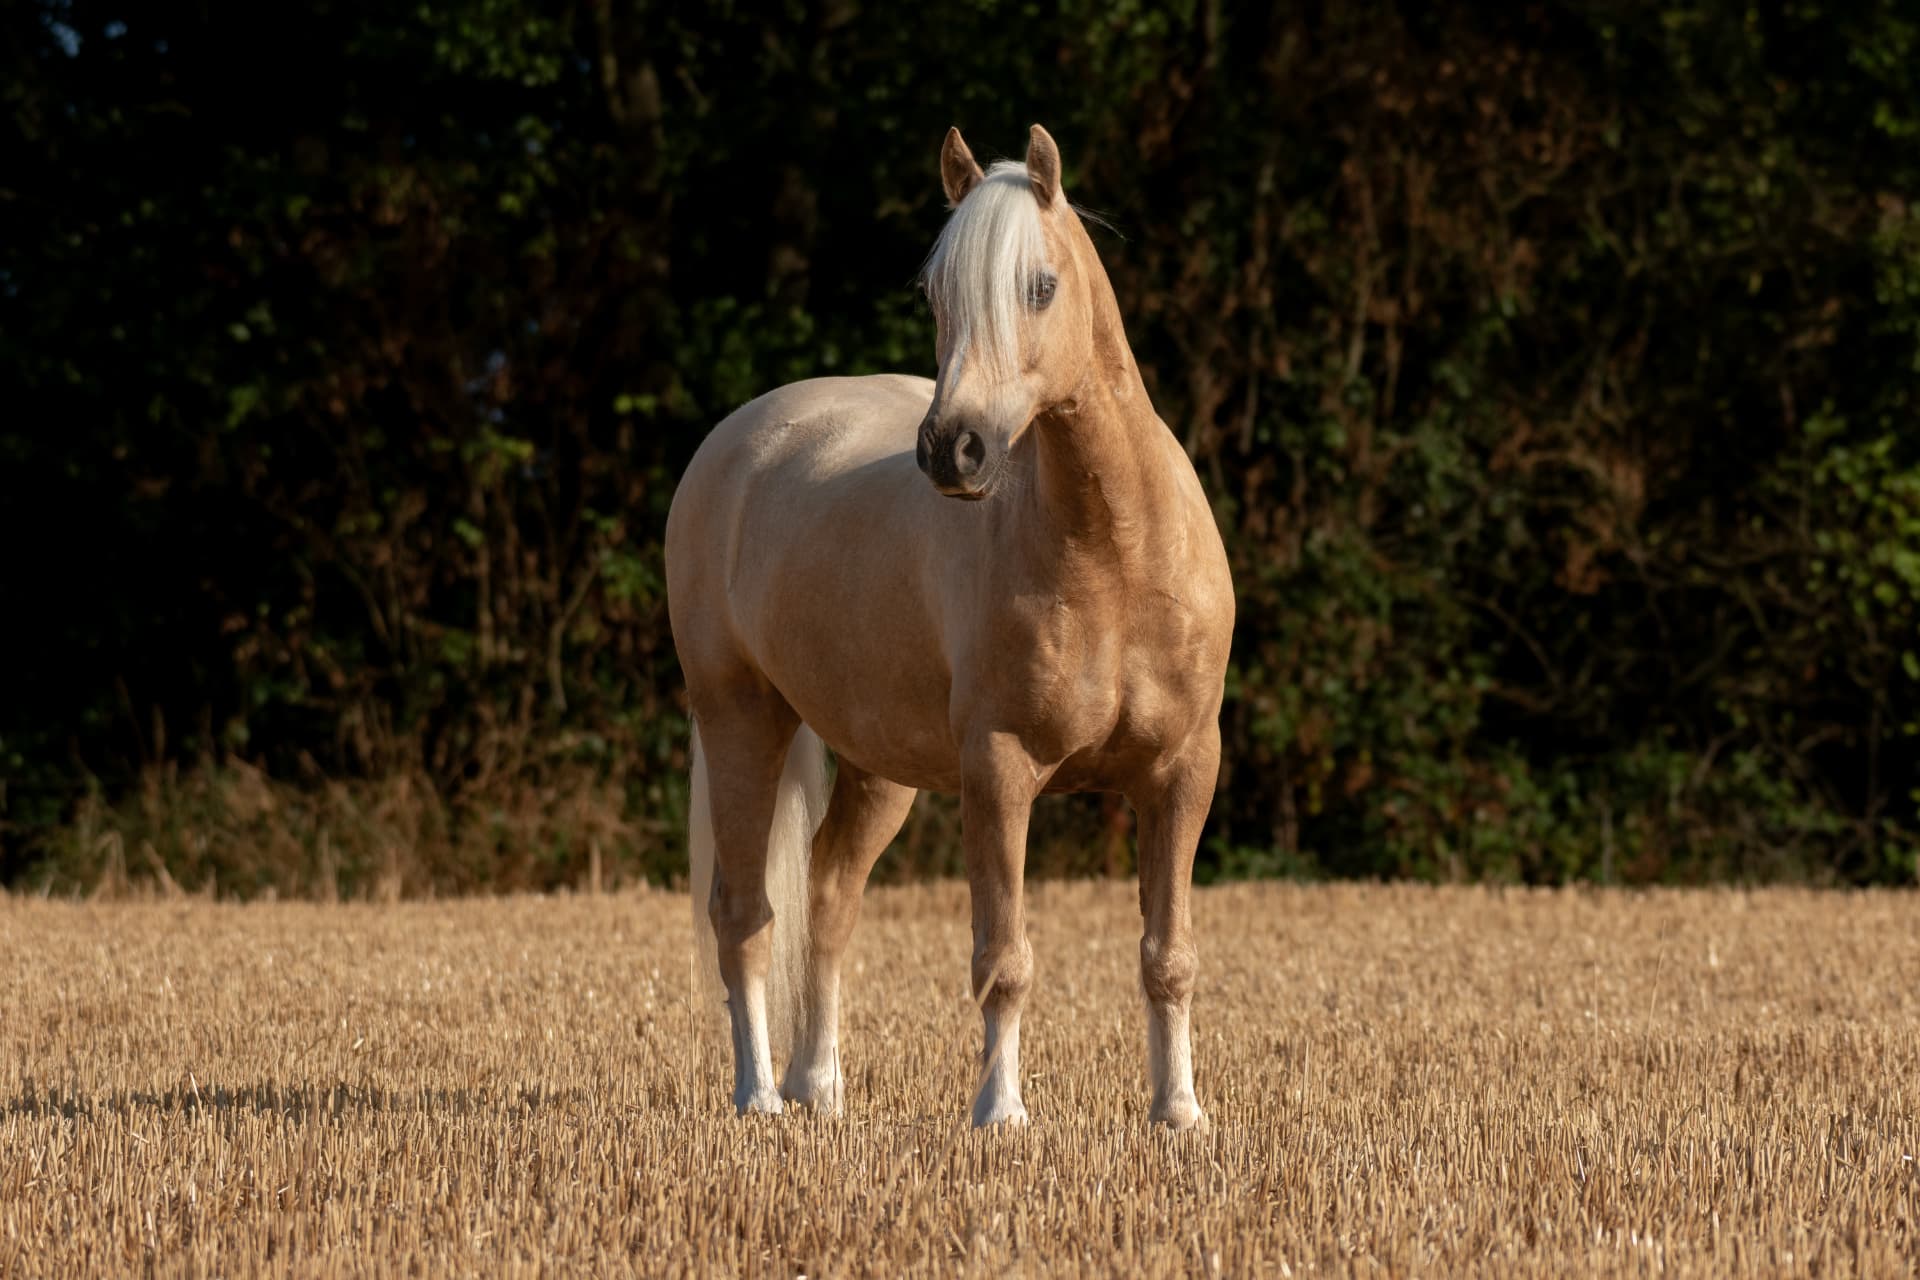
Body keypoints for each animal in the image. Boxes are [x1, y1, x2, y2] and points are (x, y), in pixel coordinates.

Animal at [664, 124, 1234, 1130]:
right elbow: (1004, 960)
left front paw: (1179, 1114)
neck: (1119, 555)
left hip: (878, 766)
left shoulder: (1182, 771)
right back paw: (760, 1097)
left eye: (1040, 285)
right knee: (744, 914)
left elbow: (1168, 957)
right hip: (741, 720)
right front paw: (999, 1115)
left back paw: (821, 1091)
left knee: (828, 896)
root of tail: (735, 442)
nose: (952, 451)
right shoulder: (999, 771)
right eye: (935, 293)